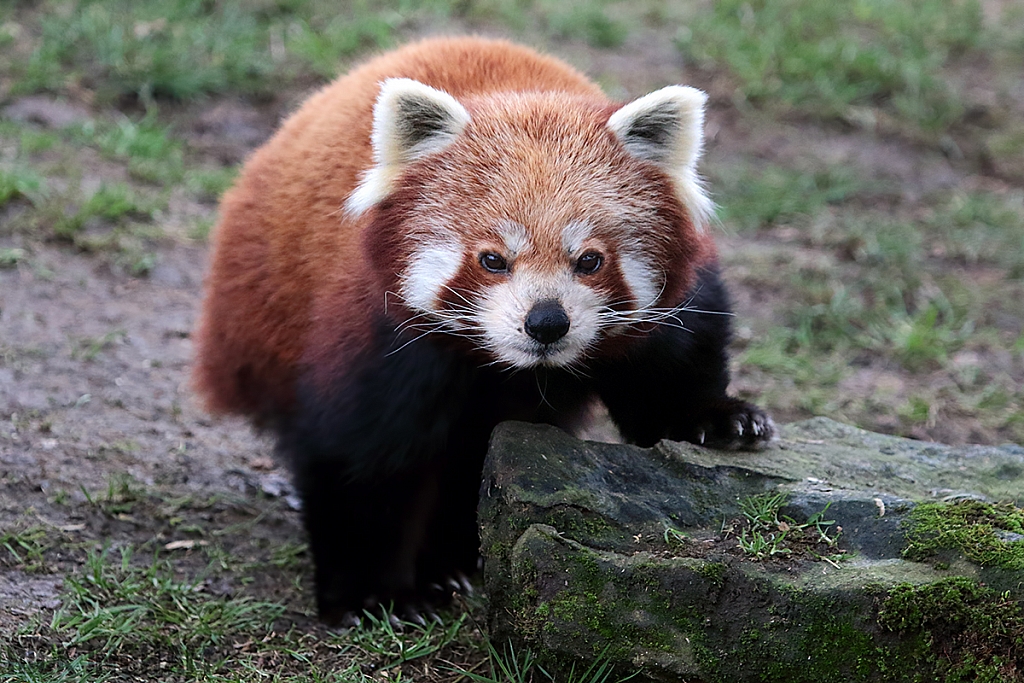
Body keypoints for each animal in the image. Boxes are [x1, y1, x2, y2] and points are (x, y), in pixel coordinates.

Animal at [192, 36, 770, 626]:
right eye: (493, 260)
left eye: (589, 260)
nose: (546, 322)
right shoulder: (379, 336)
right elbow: (362, 461)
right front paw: (370, 595)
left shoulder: (667, 309)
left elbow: (666, 377)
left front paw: (718, 418)